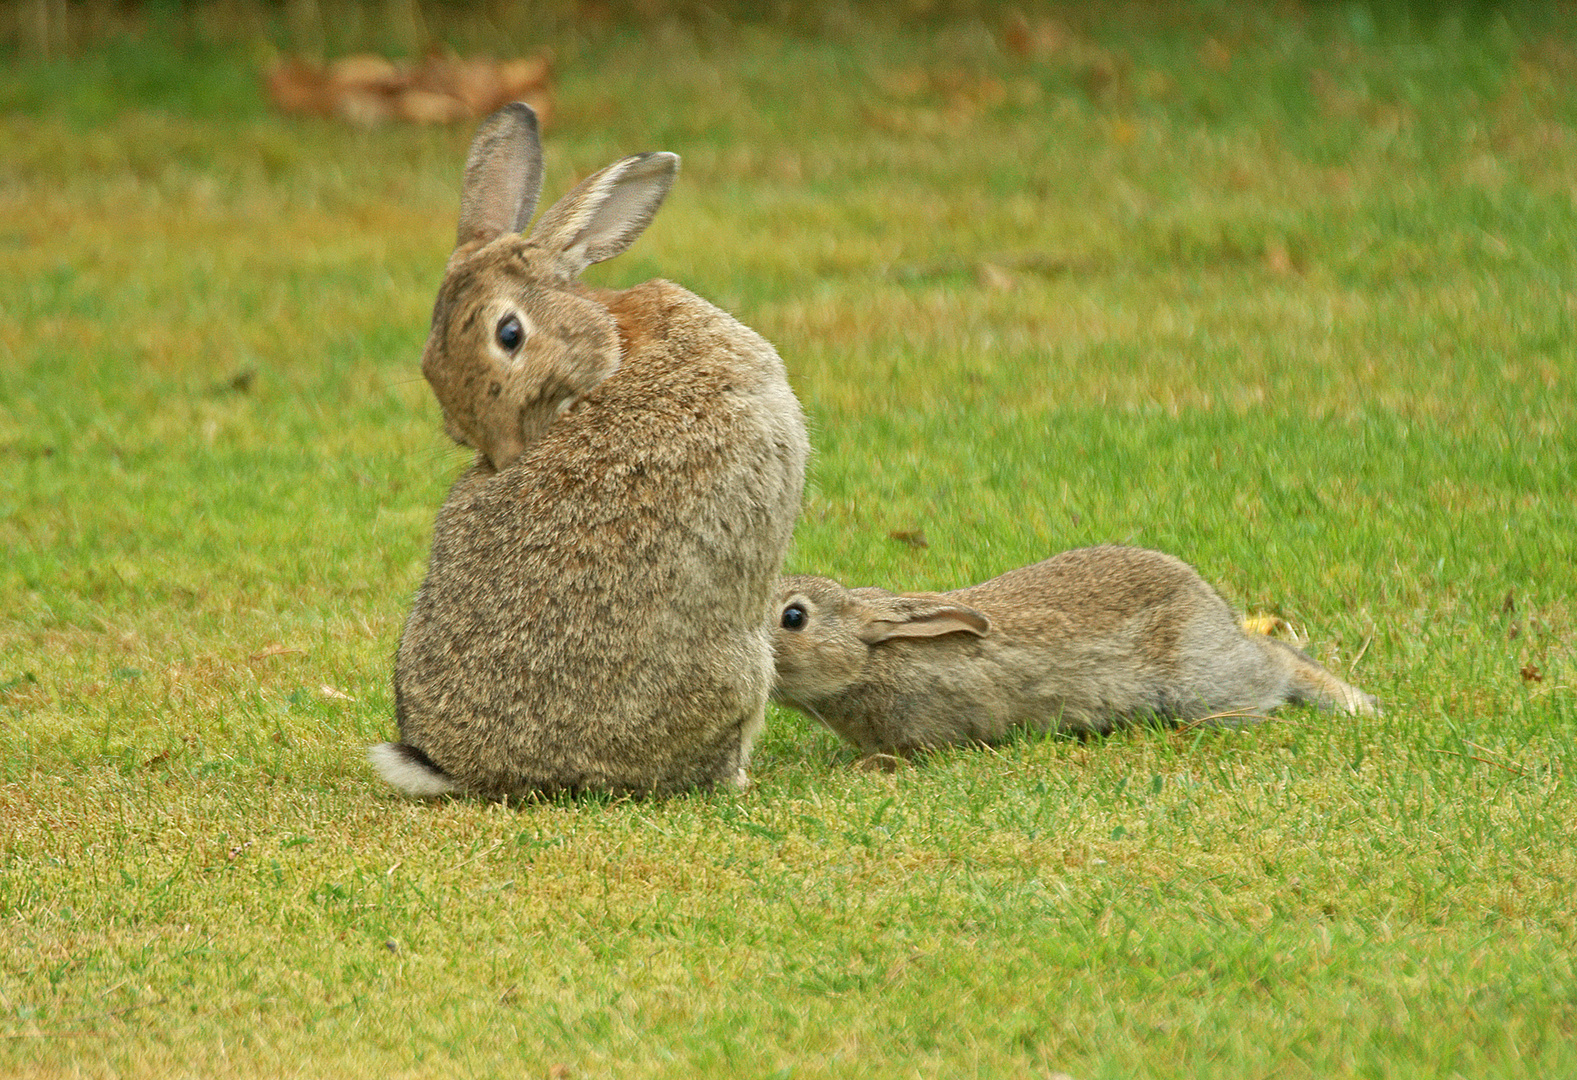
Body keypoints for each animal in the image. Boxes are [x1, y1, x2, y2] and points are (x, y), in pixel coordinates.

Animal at [772, 542, 1381, 753]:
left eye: (793, 618)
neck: (869, 660)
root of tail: (1208, 604)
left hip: (1201, 683)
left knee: (1273, 663)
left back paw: (1357, 705)